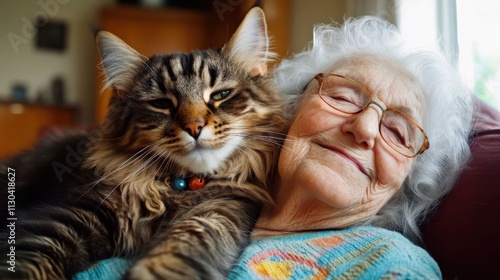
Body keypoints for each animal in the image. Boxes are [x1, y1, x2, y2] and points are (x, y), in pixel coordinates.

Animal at [0, 7, 288, 280]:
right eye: (161, 104)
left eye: (221, 95)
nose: (194, 127)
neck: (176, 188)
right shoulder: (66, 215)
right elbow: (32, 262)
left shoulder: (222, 211)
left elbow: (183, 250)